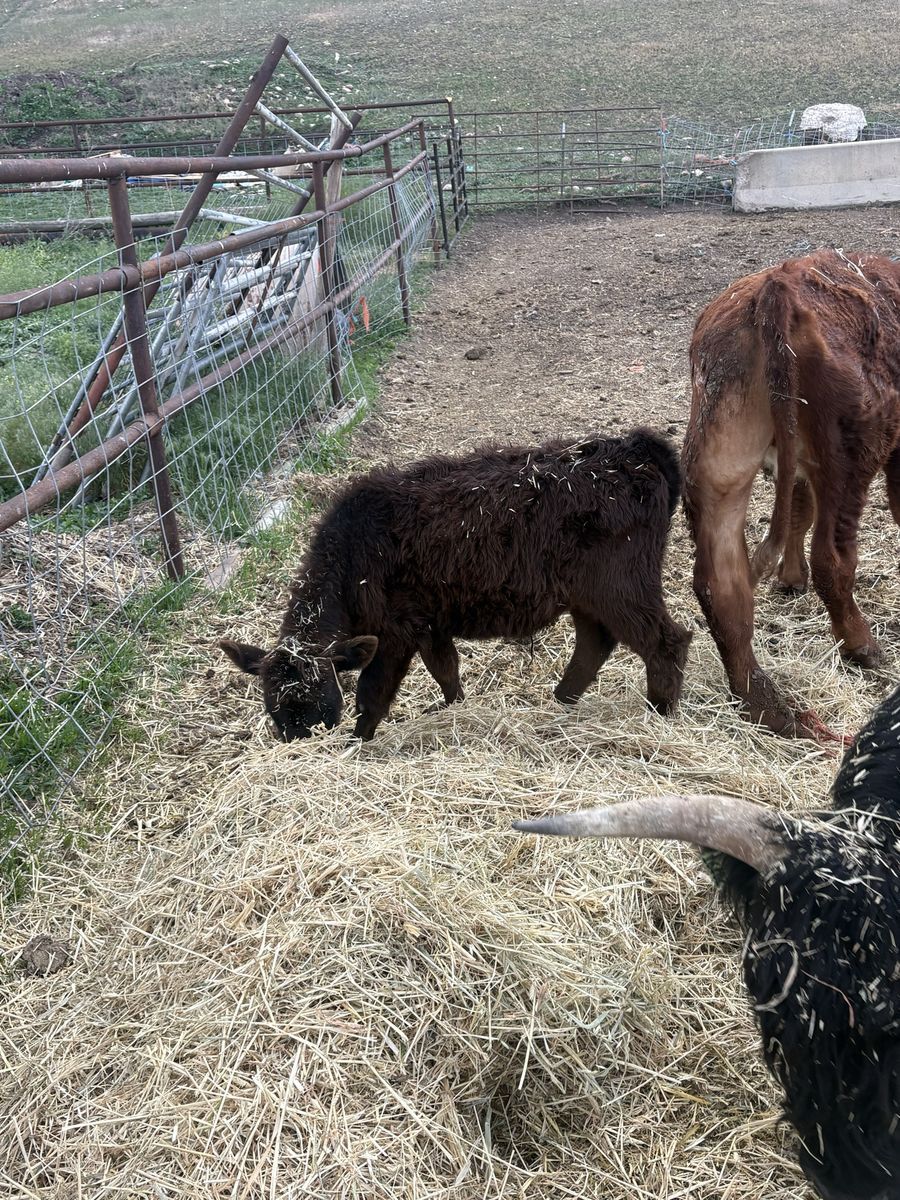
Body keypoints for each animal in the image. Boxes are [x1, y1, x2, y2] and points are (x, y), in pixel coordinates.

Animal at [220, 429, 692, 741]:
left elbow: (374, 692)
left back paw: (660, 713)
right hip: (587, 595)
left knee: (667, 640)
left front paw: (360, 740)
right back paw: (562, 701)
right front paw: (455, 707)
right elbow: (445, 669)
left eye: (324, 706)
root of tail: (636, 446)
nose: (301, 745)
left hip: (622, 586)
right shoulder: (429, 622)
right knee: (595, 643)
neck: (353, 553)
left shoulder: (396, 630)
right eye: (275, 712)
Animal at [682, 250, 900, 739]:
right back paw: (861, 647)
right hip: (851, 453)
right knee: (833, 559)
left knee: (721, 582)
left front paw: (789, 578)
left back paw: (768, 710)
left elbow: (799, 509)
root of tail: (776, 288)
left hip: (719, 458)